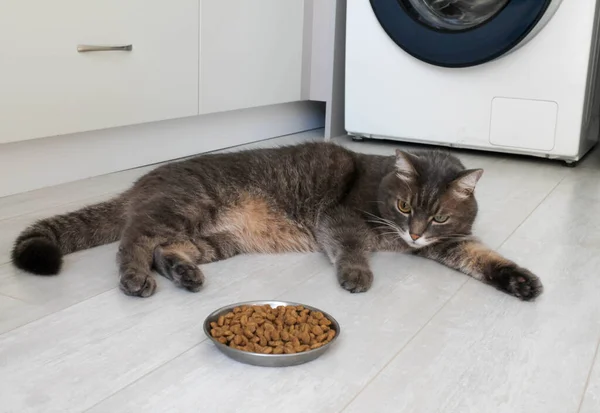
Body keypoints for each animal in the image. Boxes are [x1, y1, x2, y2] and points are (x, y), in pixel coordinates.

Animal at [10, 142, 544, 300]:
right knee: (134, 241)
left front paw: (521, 280)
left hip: (216, 238)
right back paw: (136, 278)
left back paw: (184, 273)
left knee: (167, 249)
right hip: (186, 206)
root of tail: (143, 182)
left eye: (438, 216)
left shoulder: (450, 242)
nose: (413, 233)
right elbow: (351, 247)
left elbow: (484, 256)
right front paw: (356, 274)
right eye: (405, 208)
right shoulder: (340, 218)